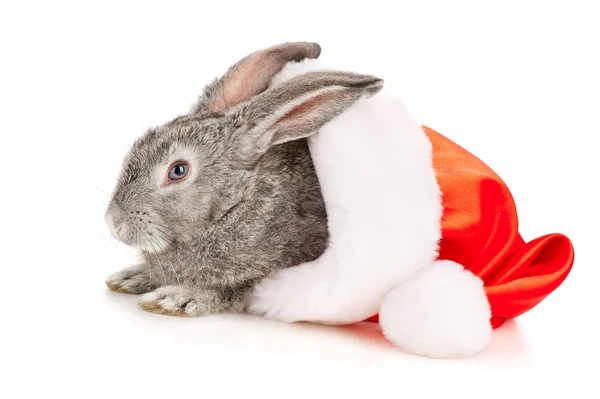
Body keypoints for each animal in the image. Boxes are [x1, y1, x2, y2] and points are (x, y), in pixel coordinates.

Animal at [104, 42, 384, 318]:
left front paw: (176, 298)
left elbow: (235, 290)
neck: (237, 205)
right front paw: (130, 277)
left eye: (178, 171)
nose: (113, 224)